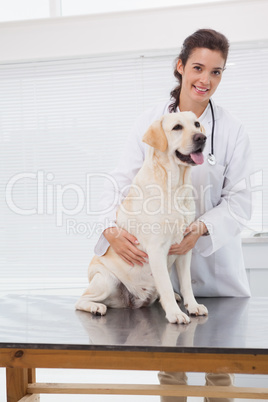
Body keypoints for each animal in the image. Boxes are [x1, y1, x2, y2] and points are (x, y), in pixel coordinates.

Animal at [75, 111, 207, 326]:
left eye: (196, 124)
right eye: (177, 127)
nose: (202, 138)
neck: (175, 187)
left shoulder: (185, 247)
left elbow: (187, 283)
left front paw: (193, 305)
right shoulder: (156, 249)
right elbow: (166, 285)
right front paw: (175, 313)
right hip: (106, 280)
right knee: (81, 300)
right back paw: (95, 307)